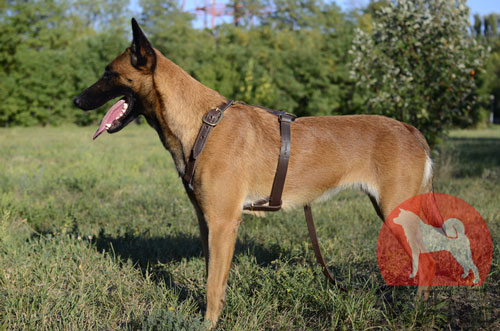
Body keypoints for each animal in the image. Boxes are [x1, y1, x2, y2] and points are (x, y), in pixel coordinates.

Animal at [73, 19, 434, 328]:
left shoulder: (223, 223)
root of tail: (411, 130)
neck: (201, 126)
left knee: (427, 261)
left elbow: (212, 286)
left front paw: (208, 324)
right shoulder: (207, 223)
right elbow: (213, 277)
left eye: (109, 74)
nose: (76, 100)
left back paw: (417, 312)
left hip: (395, 212)